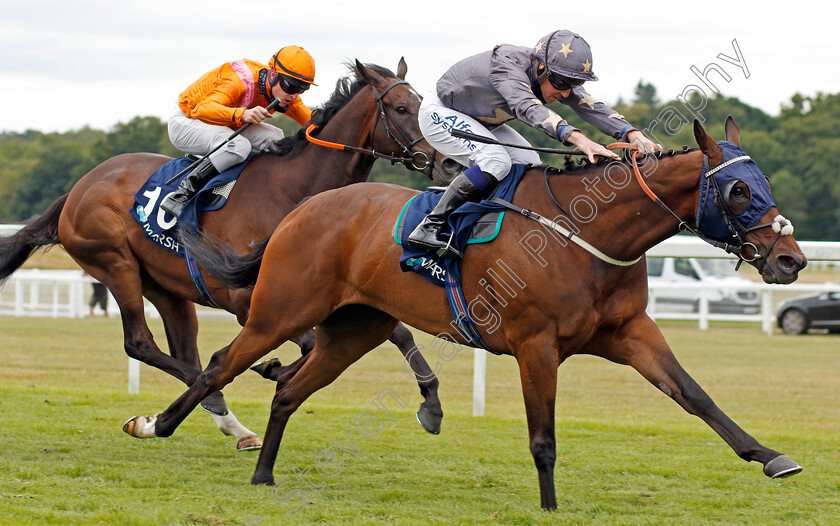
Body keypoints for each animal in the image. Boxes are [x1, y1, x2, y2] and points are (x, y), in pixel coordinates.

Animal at [0, 60, 460, 450]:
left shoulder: (345, 289)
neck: (296, 191)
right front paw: (275, 370)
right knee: (143, 344)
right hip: (114, 262)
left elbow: (398, 334)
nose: (450, 163)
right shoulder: (249, 300)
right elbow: (307, 344)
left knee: (182, 351)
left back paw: (231, 422)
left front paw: (431, 402)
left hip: (166, 287)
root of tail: (79, 187)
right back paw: (211, 403)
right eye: (402, 108)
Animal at [124, 117, 808, 510]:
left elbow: (695, 396)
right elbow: (543, 437)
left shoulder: (629, 333)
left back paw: (264, 476)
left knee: (289, 388)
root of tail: (302, 210)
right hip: (281, 313)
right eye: (739, 190)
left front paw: (771, 456)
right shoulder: (537, 345)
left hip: (354, 329)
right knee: (218, 365)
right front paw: (550, 506)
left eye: (765, 183)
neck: (588, 234)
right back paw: (156, 425)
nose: (791, 259)